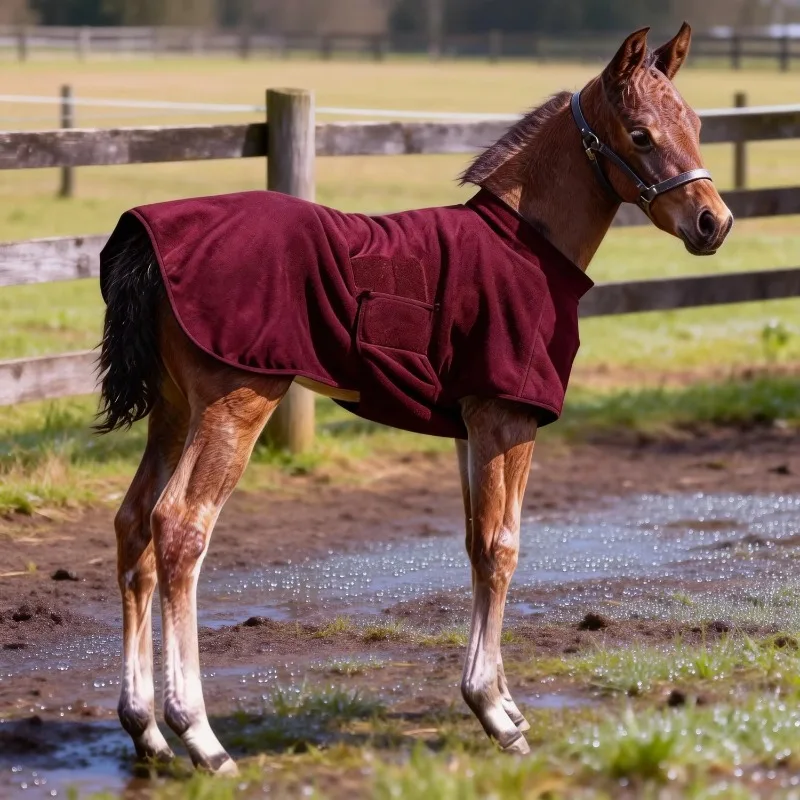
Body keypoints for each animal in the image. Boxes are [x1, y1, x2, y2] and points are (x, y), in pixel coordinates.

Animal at [96, 24, 732, 773]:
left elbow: (477, 542)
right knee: (179, 527)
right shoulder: (507, 418)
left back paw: (145, 729)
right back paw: (198, 733)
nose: (713, 222)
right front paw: (494, 712)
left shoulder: (470, 428)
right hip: (234, 405)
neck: (525, 245)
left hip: (172, 411)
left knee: (134, 525)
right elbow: (502, 546)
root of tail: (146, 237)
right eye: (640, 135)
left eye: (696, 125)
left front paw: (505, 700)